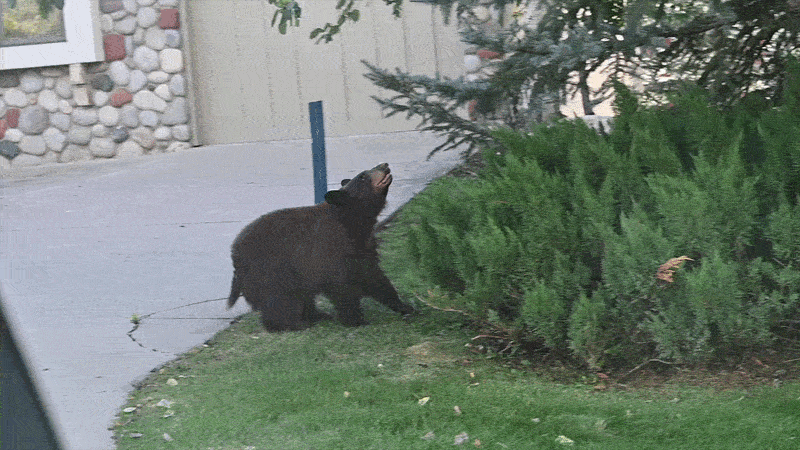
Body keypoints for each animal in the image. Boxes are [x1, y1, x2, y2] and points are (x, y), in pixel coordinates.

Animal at [227, 162, 414, 331]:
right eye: (362, 176)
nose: (384, 165)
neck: (350, 221)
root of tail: (234, 256)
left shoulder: (361, 248)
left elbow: (375, 278)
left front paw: (405, 307)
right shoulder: (329, 247)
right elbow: (341, 285)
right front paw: (356, 320)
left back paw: (318, 315)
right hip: (271, 272)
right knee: (280, 300)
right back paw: (293, 324)